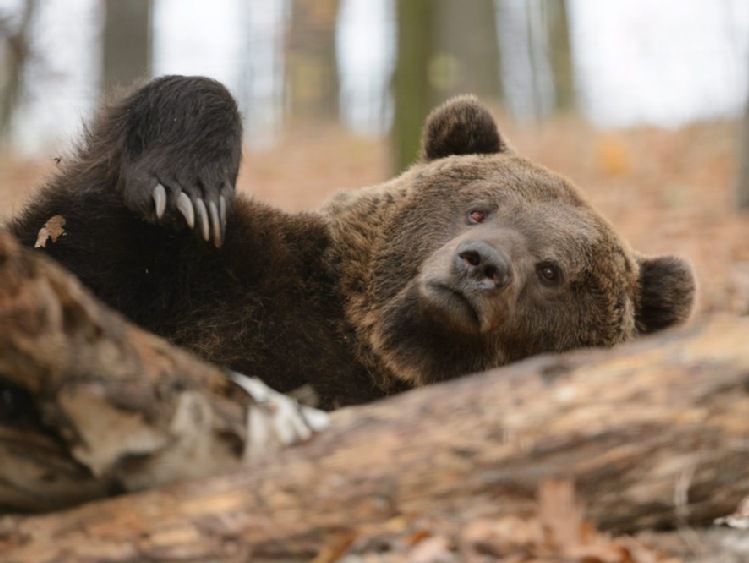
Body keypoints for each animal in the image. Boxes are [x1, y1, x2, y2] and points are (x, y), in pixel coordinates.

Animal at [5, 75, 696, 410]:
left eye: (553, 271)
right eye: (478, 208)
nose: (479, 265)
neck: (378, 347)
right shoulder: (228, 273)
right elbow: (82, 239)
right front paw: (185, 186)